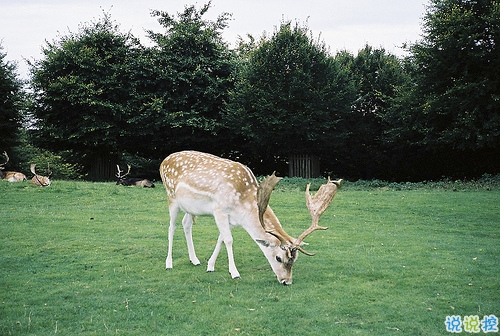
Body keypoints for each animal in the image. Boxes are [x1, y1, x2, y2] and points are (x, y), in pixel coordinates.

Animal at [158, 151, 342, 284]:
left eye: (295, 259)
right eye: (278, 257)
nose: (286, 281)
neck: (242, 204)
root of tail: (163, 162)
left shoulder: (231, 219)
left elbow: (221, 239)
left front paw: (210, 266)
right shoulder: (219, 210)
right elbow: (229, 240)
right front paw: (234, 273)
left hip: (190, 208)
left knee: (186, 224)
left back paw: (194, 260)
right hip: (171, 197)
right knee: (171, 227)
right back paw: (168, 264)